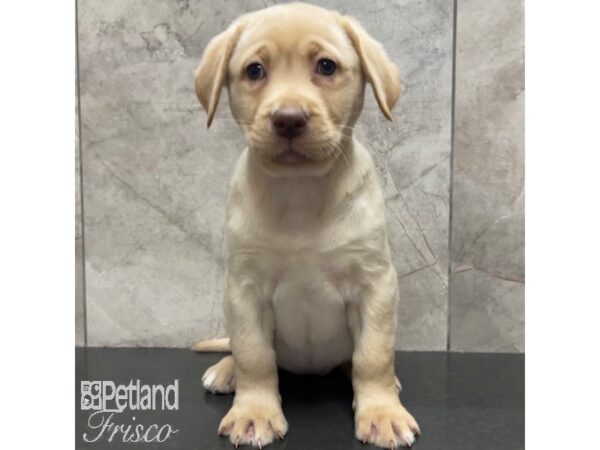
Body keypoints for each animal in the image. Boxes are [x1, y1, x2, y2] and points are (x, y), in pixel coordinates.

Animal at [192, 1, 418, 448]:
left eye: (326, 66)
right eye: (255, 71)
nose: (289, 118)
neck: (300, 192)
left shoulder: (375, 284)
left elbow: (373, 356)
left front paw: (382, 412)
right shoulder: (244, 289)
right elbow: (254, 356)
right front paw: (254, 412)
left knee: (356, 359)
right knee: (239, 351)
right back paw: (226, 370)